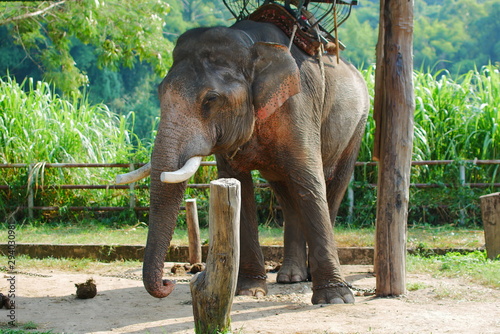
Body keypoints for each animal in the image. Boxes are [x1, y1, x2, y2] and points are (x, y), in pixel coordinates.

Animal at [116, 18, 368, 306]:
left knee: (332, 187)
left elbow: (309, 182)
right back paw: (291, 277)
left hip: (358, 126)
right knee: (286, 194)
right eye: (159, 92)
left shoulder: (299, 107)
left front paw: (336, 299)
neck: (250, 44)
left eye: (211, 99)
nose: (168, 283)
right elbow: (240, 188)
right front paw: (249, 291)